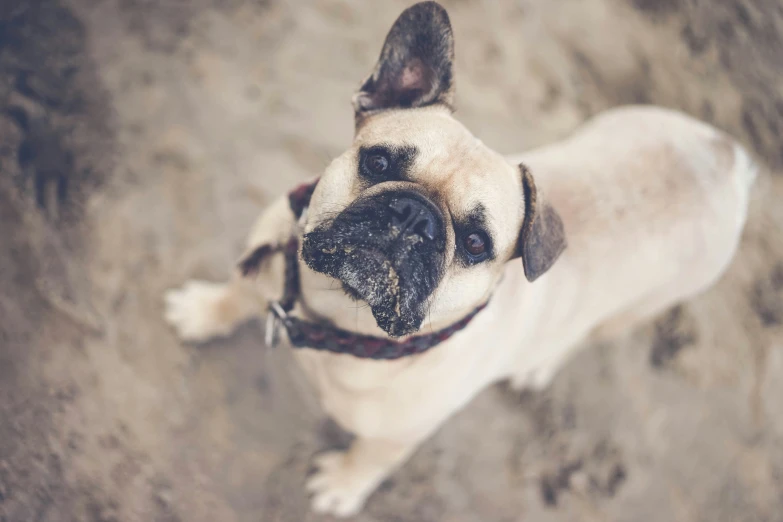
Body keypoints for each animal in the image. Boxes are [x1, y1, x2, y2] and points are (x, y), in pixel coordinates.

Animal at [162, 1, 756, 516]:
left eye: (475, 243)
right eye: (378, 162)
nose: (414, 216)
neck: (336, 319)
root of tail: (728, 156)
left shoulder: (397, 434)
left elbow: (371, 458)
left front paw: (342, 487)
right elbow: (238, 292)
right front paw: (204, 312)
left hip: (634, 311)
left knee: (586, 336)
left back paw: (538, 367)